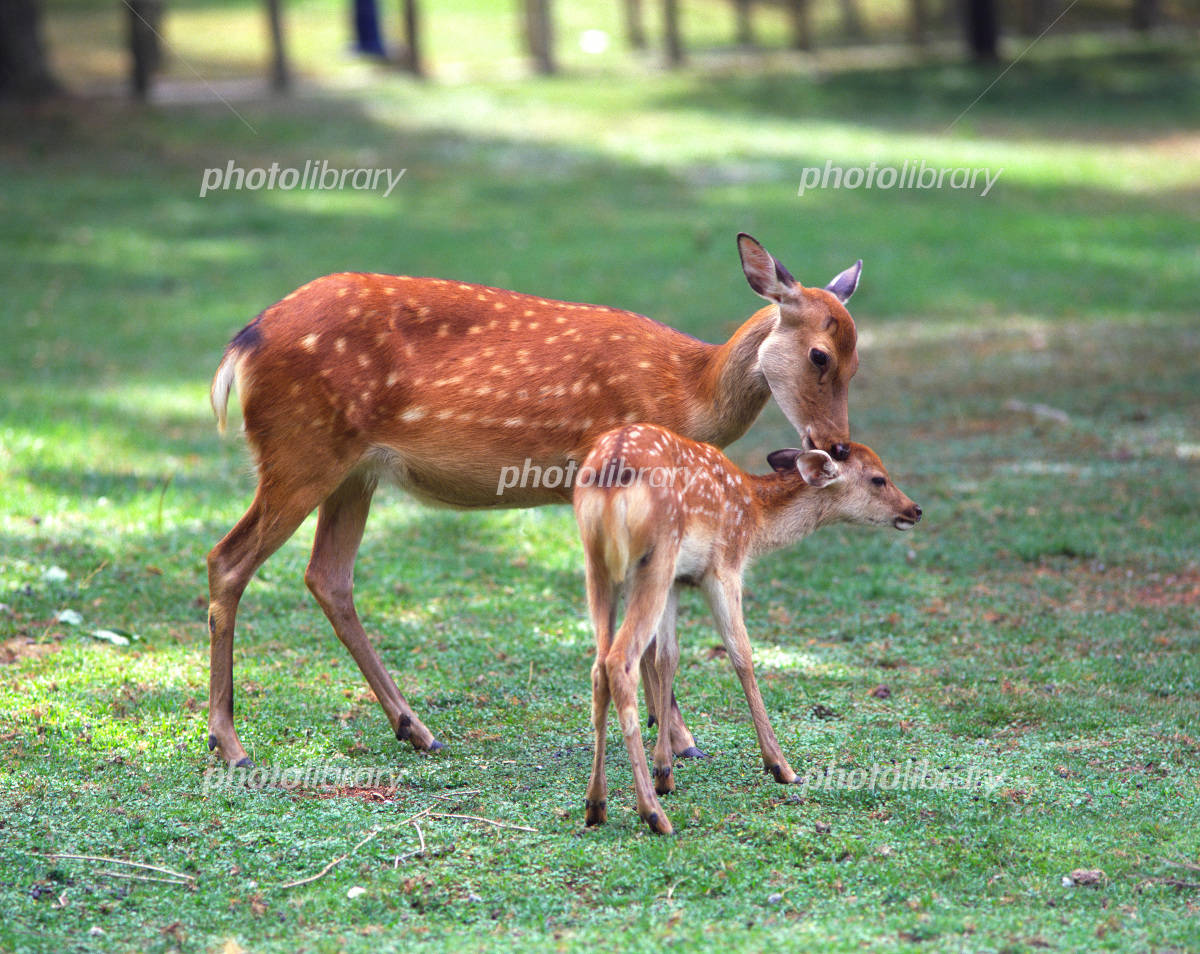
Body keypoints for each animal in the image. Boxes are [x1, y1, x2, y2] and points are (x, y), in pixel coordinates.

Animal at [206, 234, 864, 768]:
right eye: (820, 355)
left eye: (857, 363)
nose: (835, 444)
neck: (688, 392)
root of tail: (241, 346)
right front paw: (679, 740)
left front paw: (674, 736)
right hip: (301, 451)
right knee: (228, 560)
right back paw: (230, 744)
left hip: (353, 473)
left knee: (328, 576)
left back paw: (416, 729)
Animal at [574, 424, 921, 834]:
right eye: (878, 478)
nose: (914, 510)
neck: (754, 514)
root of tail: (609, 480)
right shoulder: (724, 566)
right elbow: (742, 654)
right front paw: (782, 767)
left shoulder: (678, 581)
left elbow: (667, 658)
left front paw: (665, 772)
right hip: (654, 558)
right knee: (619, 661)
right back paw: (653, 814)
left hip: (599, 564)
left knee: (599, 665)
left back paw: (596, 804)